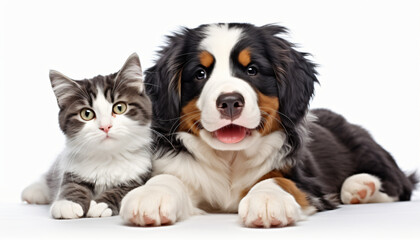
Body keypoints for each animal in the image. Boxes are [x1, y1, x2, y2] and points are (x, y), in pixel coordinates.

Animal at [21, 53, 153, 218]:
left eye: (119, 107)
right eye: (87, 114)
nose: (105, 126)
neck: (107, 159)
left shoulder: (141, 175)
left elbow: (122, 191)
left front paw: (100, 205)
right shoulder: (71, 166)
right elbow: (72, 185)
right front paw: (67, 204)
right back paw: (34, 191)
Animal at [119, 23, 416, 228]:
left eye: (252, 70)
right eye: (200, 74)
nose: (229, 102)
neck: (230, 159)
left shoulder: (305, 181)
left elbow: (276, 179)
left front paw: (267, 200)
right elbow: (168, 178)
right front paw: (150, 195)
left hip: (366, 148)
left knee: (401, 184)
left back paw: (360, 187)